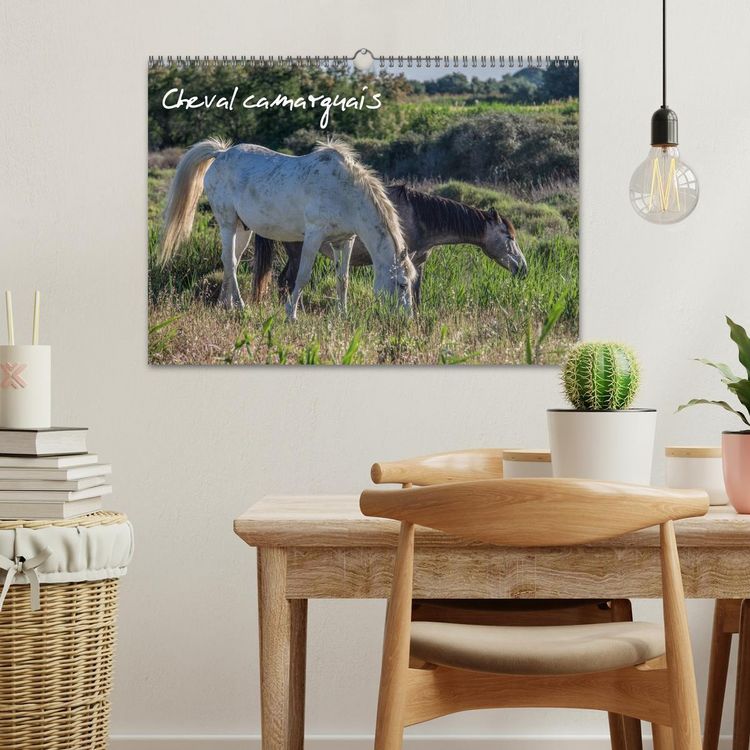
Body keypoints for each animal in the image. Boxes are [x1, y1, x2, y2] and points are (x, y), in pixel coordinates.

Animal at [159, 138, 415, 319]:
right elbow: (302, 276)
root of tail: (221, 154)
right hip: (227, 223)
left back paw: (226, 304)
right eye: (402, 284)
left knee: (230, 261)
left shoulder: (345, 240)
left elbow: (343, 279)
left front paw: (342, 314)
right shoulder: (313, 236)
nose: (407, 319)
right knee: (230, 262)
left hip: (243, 229)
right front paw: (291, 314)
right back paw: (240, 307)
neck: (344, 192)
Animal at [252, 184, 528, 307]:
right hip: (298, 251)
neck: (418, 216)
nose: (523, 269)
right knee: (287, 282)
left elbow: (416, 294)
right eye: (509, 237)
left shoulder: (418, 264)